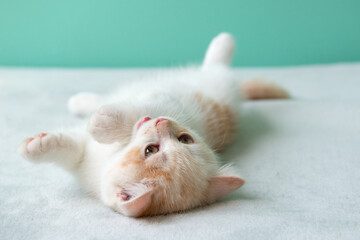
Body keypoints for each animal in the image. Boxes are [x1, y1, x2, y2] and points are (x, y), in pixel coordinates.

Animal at [17, 32, 290, 218]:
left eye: (151, 150)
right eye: (185, 139)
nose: (162, 121)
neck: (110, 153)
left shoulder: (168, 104)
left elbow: (137, 108)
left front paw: (103, 123)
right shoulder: (86, 159)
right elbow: (69, 148)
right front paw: (36, 146)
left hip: (219, 83)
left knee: (218, 65)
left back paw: (224, 41)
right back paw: (83, 102)